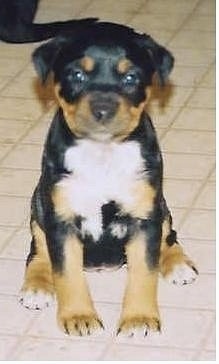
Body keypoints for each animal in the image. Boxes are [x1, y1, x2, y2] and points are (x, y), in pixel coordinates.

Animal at [18, 22, 198, 336]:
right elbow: (66, 273)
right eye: (77, 75)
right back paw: (37, 285)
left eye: (130, 77)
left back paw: (177, 263)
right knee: (37, 249)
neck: (102, 153)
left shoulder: (144, 217)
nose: (103, 109)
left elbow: (144, 271)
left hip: (160, 205)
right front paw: (78, 316)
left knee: (169, 233)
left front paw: (139, 318)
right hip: (38, 205)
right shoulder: (61, 219)